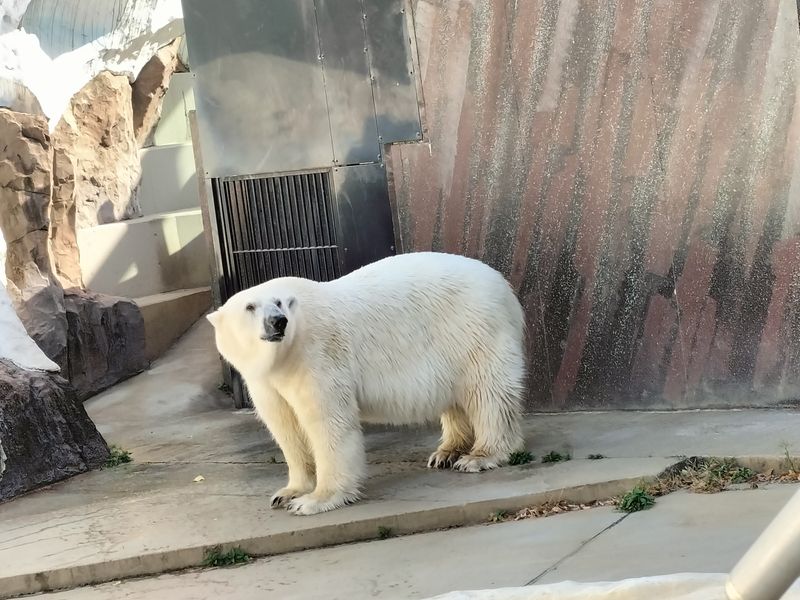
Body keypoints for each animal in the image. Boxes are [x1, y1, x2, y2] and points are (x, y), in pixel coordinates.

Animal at [208, 251, 524, 512]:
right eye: (250, 306)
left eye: (279, 302)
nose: (278, 321)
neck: (284, 356)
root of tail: (504, 286)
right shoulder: (266, 381)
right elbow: (286, 427)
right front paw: (287, 493)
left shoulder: (316, 356)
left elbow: (327, 423)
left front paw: (315, 500)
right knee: (456, 397)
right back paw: (446, 452)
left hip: (473, 330)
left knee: (488, 392)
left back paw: (479, 456)